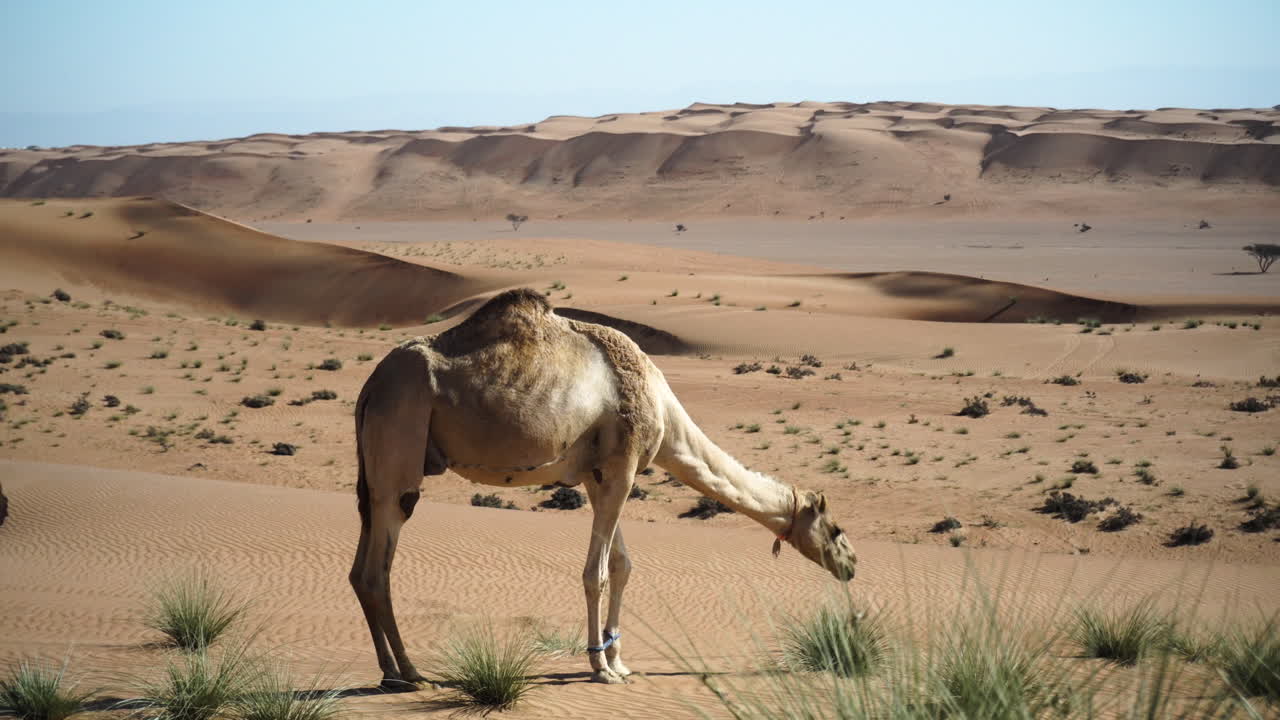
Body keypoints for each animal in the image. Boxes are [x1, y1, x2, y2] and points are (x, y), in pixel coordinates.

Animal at [350, 288, 856, 686]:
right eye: (836, 530)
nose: (852, 564)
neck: (663, 410)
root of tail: (370, 386)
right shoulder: (623, 465)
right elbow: (596, 572)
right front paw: (601, 668)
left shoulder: (597, 474)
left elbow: (622, 564)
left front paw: (620, 660)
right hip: (401, 436)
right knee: (379, 566)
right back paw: (410, 673)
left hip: (371, 470)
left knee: (360, 568)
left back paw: (390, 669)